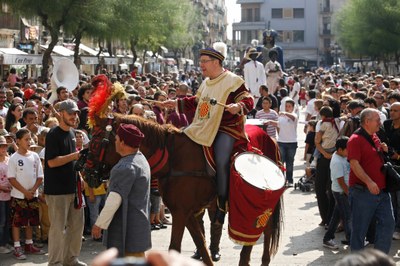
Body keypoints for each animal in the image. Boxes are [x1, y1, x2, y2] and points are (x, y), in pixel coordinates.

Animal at [84, 113, 282, 264]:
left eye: (96, 140)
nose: (85, 172)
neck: (172, 158)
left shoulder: (180, 213)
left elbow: (175, 247)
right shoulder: (186, 212)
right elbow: (201, 243)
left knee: (264, 230)